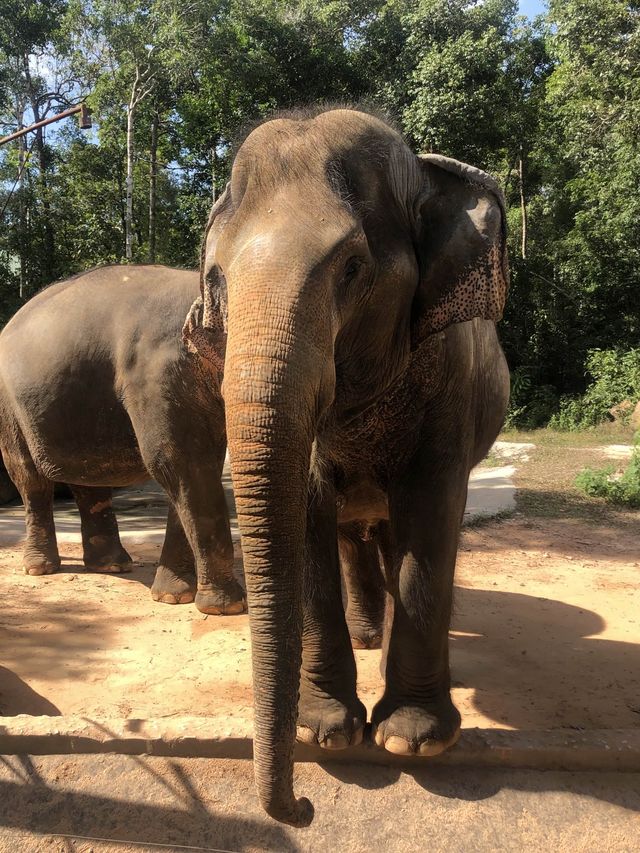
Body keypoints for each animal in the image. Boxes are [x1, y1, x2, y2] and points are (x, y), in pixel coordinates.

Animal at [0, 262, 245, 616]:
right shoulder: (159, 374)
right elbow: (178, 463)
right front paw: (224, 608)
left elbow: (199, 464)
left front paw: (171, 597)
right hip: (9, 406)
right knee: (30, 478)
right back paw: (39, 569)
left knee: (88, 477)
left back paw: (112, 566)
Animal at [185, 103, 510, 824]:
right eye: (215, 279)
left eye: (353, 267)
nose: (304, 807)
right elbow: (307, 513)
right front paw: (325, 731)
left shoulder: (450, 383)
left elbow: (430, 512)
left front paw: (410, 739)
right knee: (357, 536)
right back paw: (367, 639)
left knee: (398, 538)